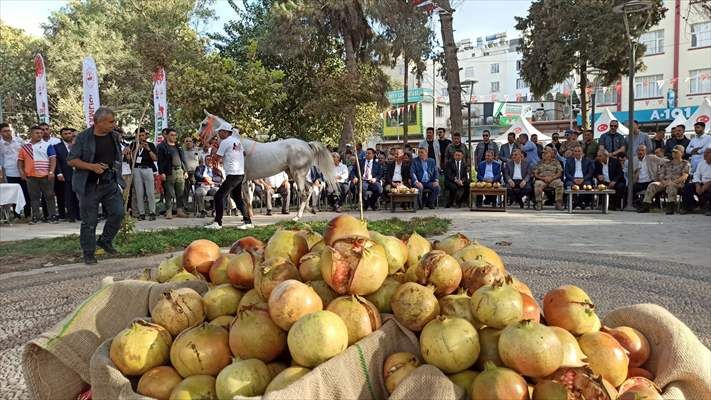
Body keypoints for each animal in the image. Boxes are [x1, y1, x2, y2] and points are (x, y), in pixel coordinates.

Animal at [197, 111, 336, 220]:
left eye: (203, 124)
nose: (198, 140)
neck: (236, 144)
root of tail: (307, 144)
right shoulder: (246, 181)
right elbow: (246, 198)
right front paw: (247, 217)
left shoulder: (243, 180)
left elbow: (246, 198)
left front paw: (248, 217)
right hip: (294, 174)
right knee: (310, 188)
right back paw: (308, 210)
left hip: (298, 174)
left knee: (303, 193)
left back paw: (297, 216)